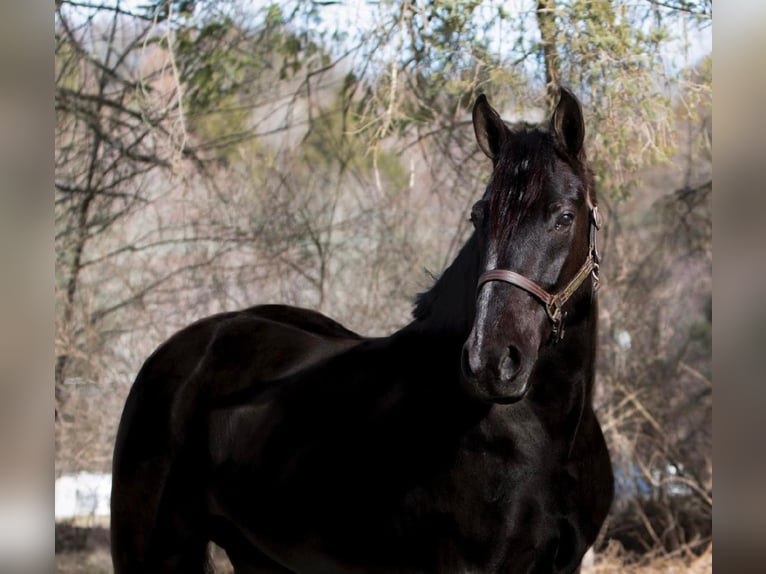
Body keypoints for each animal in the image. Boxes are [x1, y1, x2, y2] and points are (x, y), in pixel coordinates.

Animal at [111, 88, 616, 572]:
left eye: (564, 216)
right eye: (479, 216)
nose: (490, 361)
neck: (545, 434)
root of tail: (178, 352)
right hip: (154, 553)